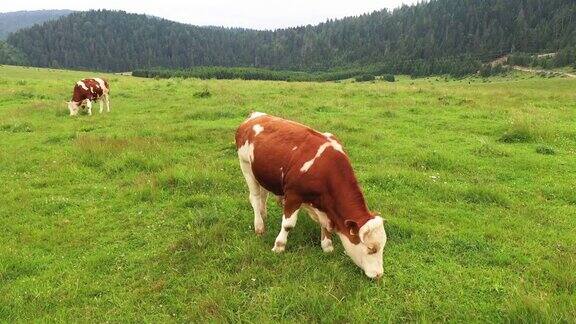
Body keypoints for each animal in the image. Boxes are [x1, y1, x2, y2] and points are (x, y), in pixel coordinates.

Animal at [234, 112, 388, 278]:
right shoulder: (293, 195)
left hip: (262, 174)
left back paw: (264, 215)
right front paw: (279, 246)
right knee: (255, 198)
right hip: (246, 166)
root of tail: (256, 115)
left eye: (383, 246)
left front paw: (327, 246)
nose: (378, 275)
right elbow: (288, 225)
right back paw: (259, 225)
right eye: (371, 249)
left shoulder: (324, 205)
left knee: (263, 195)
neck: (326, 170)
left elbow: (325, 225)